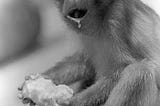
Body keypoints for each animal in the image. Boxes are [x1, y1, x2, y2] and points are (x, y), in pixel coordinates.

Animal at [19, 0, 160, 105]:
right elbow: (85, 62)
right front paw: (43, 78)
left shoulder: (118, 15)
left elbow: (120, 69)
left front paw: (69, 102)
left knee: (138, 71)